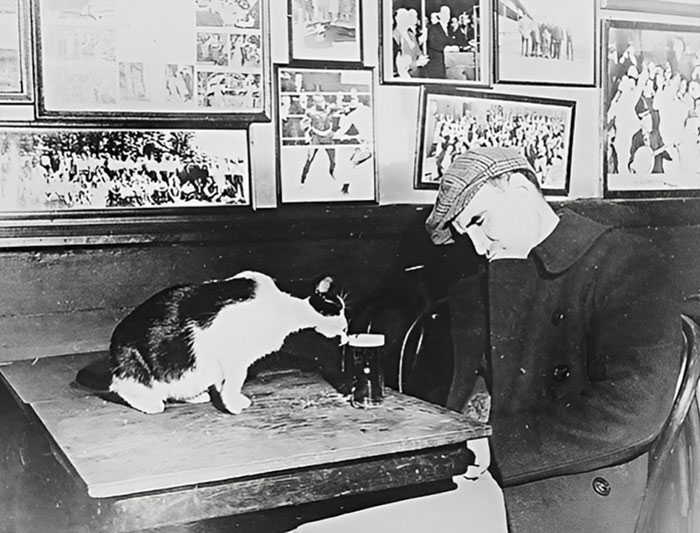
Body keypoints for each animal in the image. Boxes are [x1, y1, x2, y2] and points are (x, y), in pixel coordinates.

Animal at [102, 270, 348, 416]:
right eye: (338, 309)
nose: (346, 327)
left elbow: (224, 383)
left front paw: (223, 398)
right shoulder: (233, 355)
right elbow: (235, 381)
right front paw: (233, 404)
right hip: (140, 363)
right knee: (124, 386)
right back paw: (150, 403)